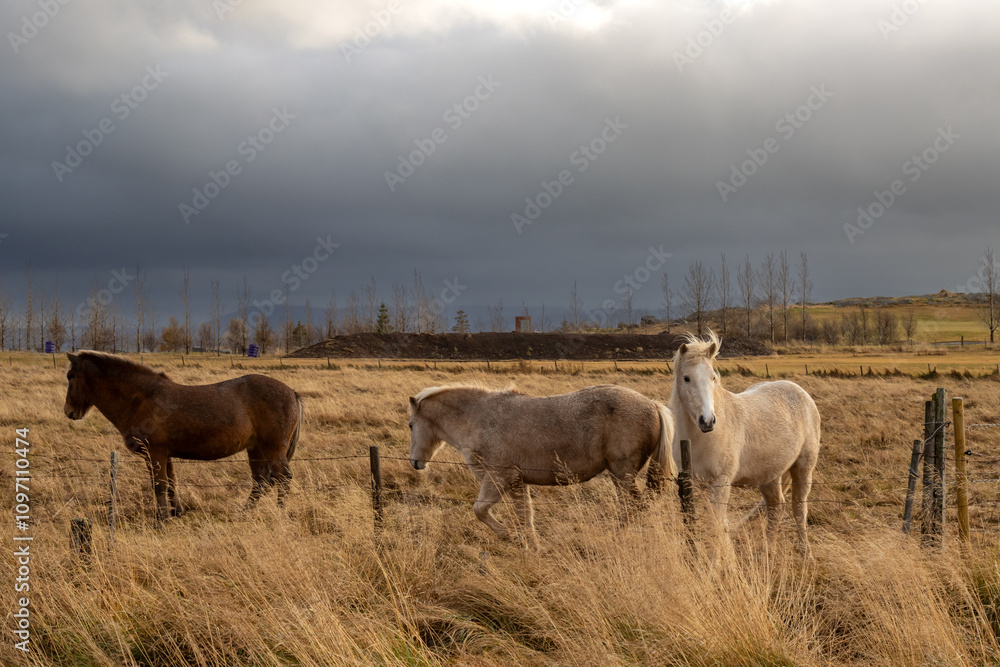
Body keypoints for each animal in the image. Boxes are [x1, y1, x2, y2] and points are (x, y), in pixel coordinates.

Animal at [63, 351, 303, 522]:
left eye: (70, 376)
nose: (69, 412)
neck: (141, 398)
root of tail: (292, 391)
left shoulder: (155, 453)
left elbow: (159, 485)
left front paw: (161, 520)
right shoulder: (164, 454)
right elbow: (171, 483)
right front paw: (176, 512)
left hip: (272, 449)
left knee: (283, 478)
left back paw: (280, 514)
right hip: (256, 449)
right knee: (261, 481)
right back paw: (244, 514)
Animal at [407, 383, 676, 547]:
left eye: (410, 425)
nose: (414, 462)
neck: (480, 419)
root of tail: (652, 405)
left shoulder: (497, 479)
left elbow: (480, 510)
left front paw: (507, 536)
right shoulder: (517, 483)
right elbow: (525, 516)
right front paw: (531, 545)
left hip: (622, 476)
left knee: (632, 507)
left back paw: (616, 539)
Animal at [667, 332, 820, 552]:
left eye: (713, 378)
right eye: (686, 378)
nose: (707, 421)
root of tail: (800, 391)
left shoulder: (721, 482)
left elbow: (716, 525)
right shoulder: (695, 483)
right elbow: (710, 524)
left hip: (803, 468)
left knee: (799, 508)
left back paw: (804, 551)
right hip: (770, 476)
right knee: (776, 508)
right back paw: (767, 552)